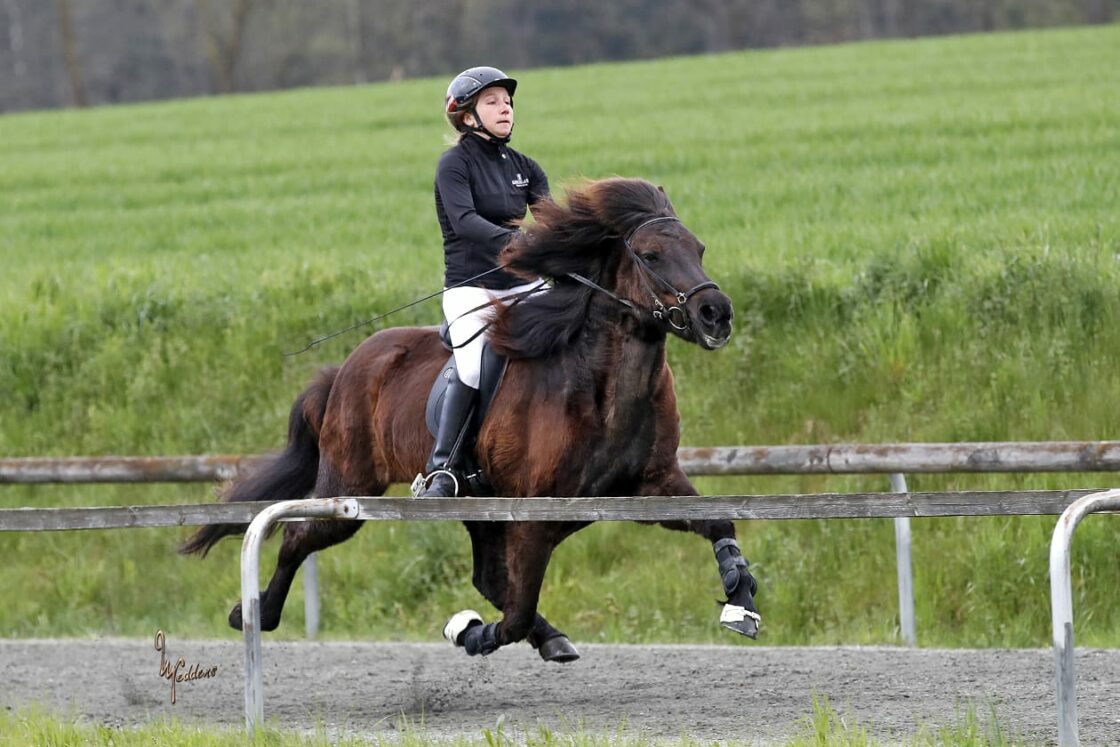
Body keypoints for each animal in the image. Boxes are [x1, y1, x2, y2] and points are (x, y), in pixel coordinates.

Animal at [183, 178, 761, 663]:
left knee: (486, 577)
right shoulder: (535, 515)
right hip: (350, 485)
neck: (602, 389)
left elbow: (719, 522)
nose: (716, 314)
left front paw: (742, 601)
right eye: (650, 254)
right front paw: (469, 631)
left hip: (476, 504)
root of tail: (345, 368)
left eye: (699, 249)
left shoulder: (647, 487)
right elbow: (517, 608)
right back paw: (255, 612)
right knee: (299, 537)